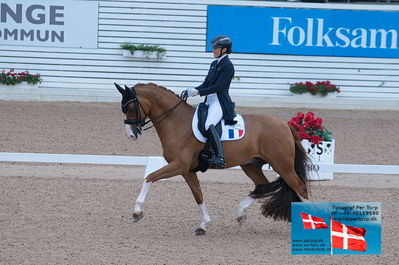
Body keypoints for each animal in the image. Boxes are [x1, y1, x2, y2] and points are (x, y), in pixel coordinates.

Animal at [115, 83, 310, 235]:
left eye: (130, 108)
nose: (130, 135)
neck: (176, 121)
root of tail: (284, 125)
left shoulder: (179, 165)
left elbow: (150, 177)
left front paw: (137, 212)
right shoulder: (187, 170)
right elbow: (198, 194)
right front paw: (203, 224)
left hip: (282, 165)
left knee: (300, 187)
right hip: (251, 165)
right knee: (263, 186)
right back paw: (240, 214)